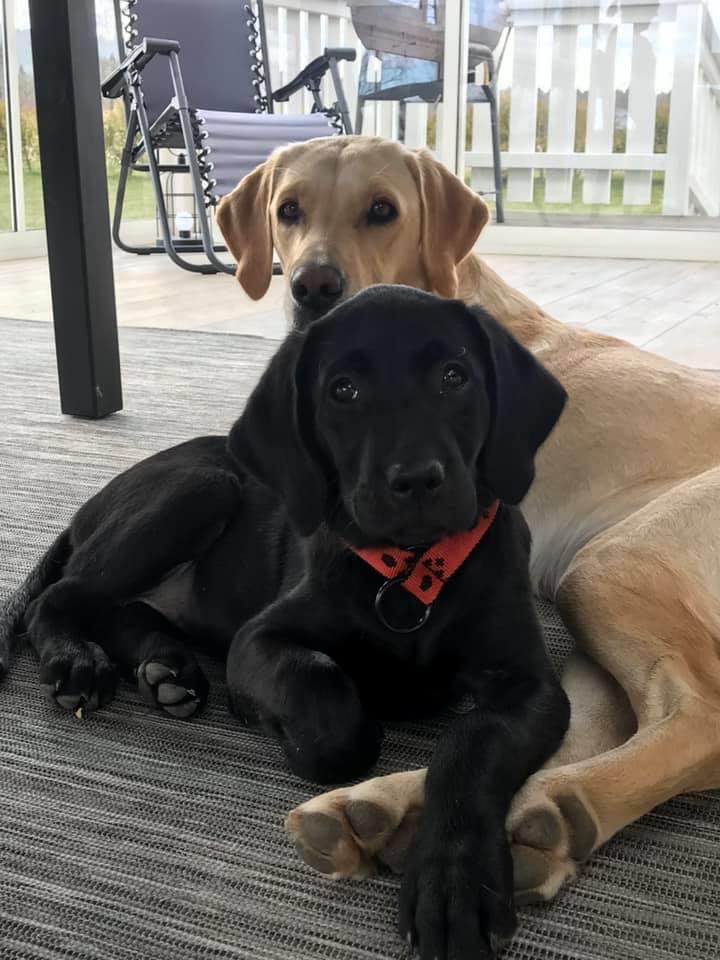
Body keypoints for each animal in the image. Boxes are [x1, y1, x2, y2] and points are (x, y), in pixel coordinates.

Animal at [6, 286, 568, 959]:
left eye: (455, 377)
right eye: (343, 391)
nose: (415, 479)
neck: (409, 569)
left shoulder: (530, 685)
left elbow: (472, 745)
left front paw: (456, 885)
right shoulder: (261, 640)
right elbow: (332, 711)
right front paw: (297, 724)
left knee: (123, 609)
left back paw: (167, 669)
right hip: (201, 486)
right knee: (57, 598)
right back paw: (78, 663)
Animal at [215, 135, 720, 905]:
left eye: (383, 211)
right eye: (288, 210)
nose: (312, 286)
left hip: (612, 563)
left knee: (696, 719)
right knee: (587, 724)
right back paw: (421, 812)